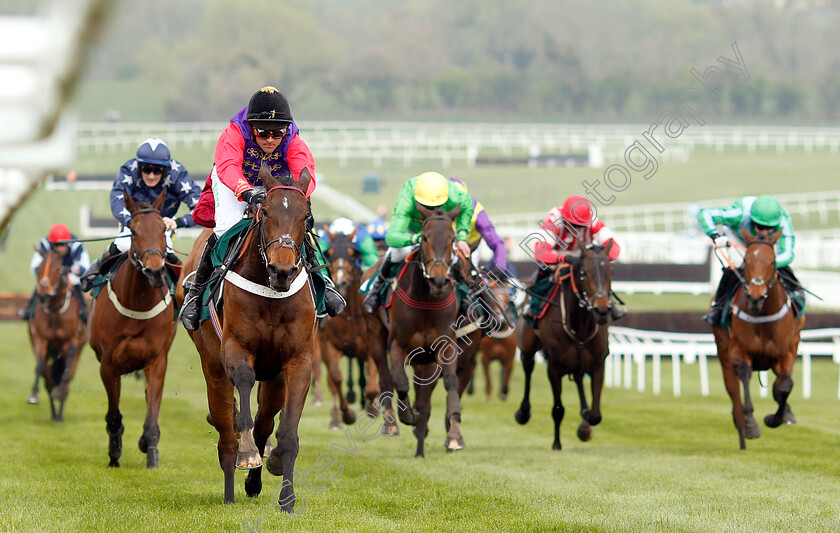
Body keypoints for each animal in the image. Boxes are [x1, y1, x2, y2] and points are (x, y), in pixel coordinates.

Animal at [26, 246, 87, 420]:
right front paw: (33, 395)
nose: (43, 294)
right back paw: (54, 412)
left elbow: (66, 373)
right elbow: (40, 367)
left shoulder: (72, 341)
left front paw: (59, 393)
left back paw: (59, 412)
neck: (55, 311)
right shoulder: (40, 339)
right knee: (49, 379)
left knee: (68, 375)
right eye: (39, 268)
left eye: (58, 270)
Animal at [88, 191, 176, 466]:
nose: (155, 271)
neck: (137, 305)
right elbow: (114, 415)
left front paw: (151, 450)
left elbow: (151, 416)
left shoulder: (157, 360)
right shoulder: (108, 364)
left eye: (163, 228)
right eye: (134, 231)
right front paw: (114, 452)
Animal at [180, 163, 316, 508]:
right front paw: (248, 453)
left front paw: (286, 494)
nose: (283, 271)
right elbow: (243, 381)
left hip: (274, 378)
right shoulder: (235, 347)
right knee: (225, 430)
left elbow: (286, 431)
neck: (270, 292)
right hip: (212, 366)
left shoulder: (297, 359)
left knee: (265, 421)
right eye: (264, 211)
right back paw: (231, 483)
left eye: (306, 216)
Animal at [516, 241, 612, 448]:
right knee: (528, 369)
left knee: (578, 377)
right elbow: (558, 409)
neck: (580, 327)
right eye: (583, 272)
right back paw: (523, 412)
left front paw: (585, 425)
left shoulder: (598, 364)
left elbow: (595, 415)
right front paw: (557, 444)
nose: (601, 309)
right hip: (527, 347)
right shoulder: (554, 367)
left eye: (611, 271)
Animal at [712, 229, 804, 448]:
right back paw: (741, 428)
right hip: (723, 351)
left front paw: (776, 418)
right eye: (746, 259)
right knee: (733, 390)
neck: (762, 316)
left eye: (772, 261)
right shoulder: (739, 352)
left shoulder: (786, 354)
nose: (755, 297)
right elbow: (744, 379)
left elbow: (785, 386)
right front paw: (751, 425)